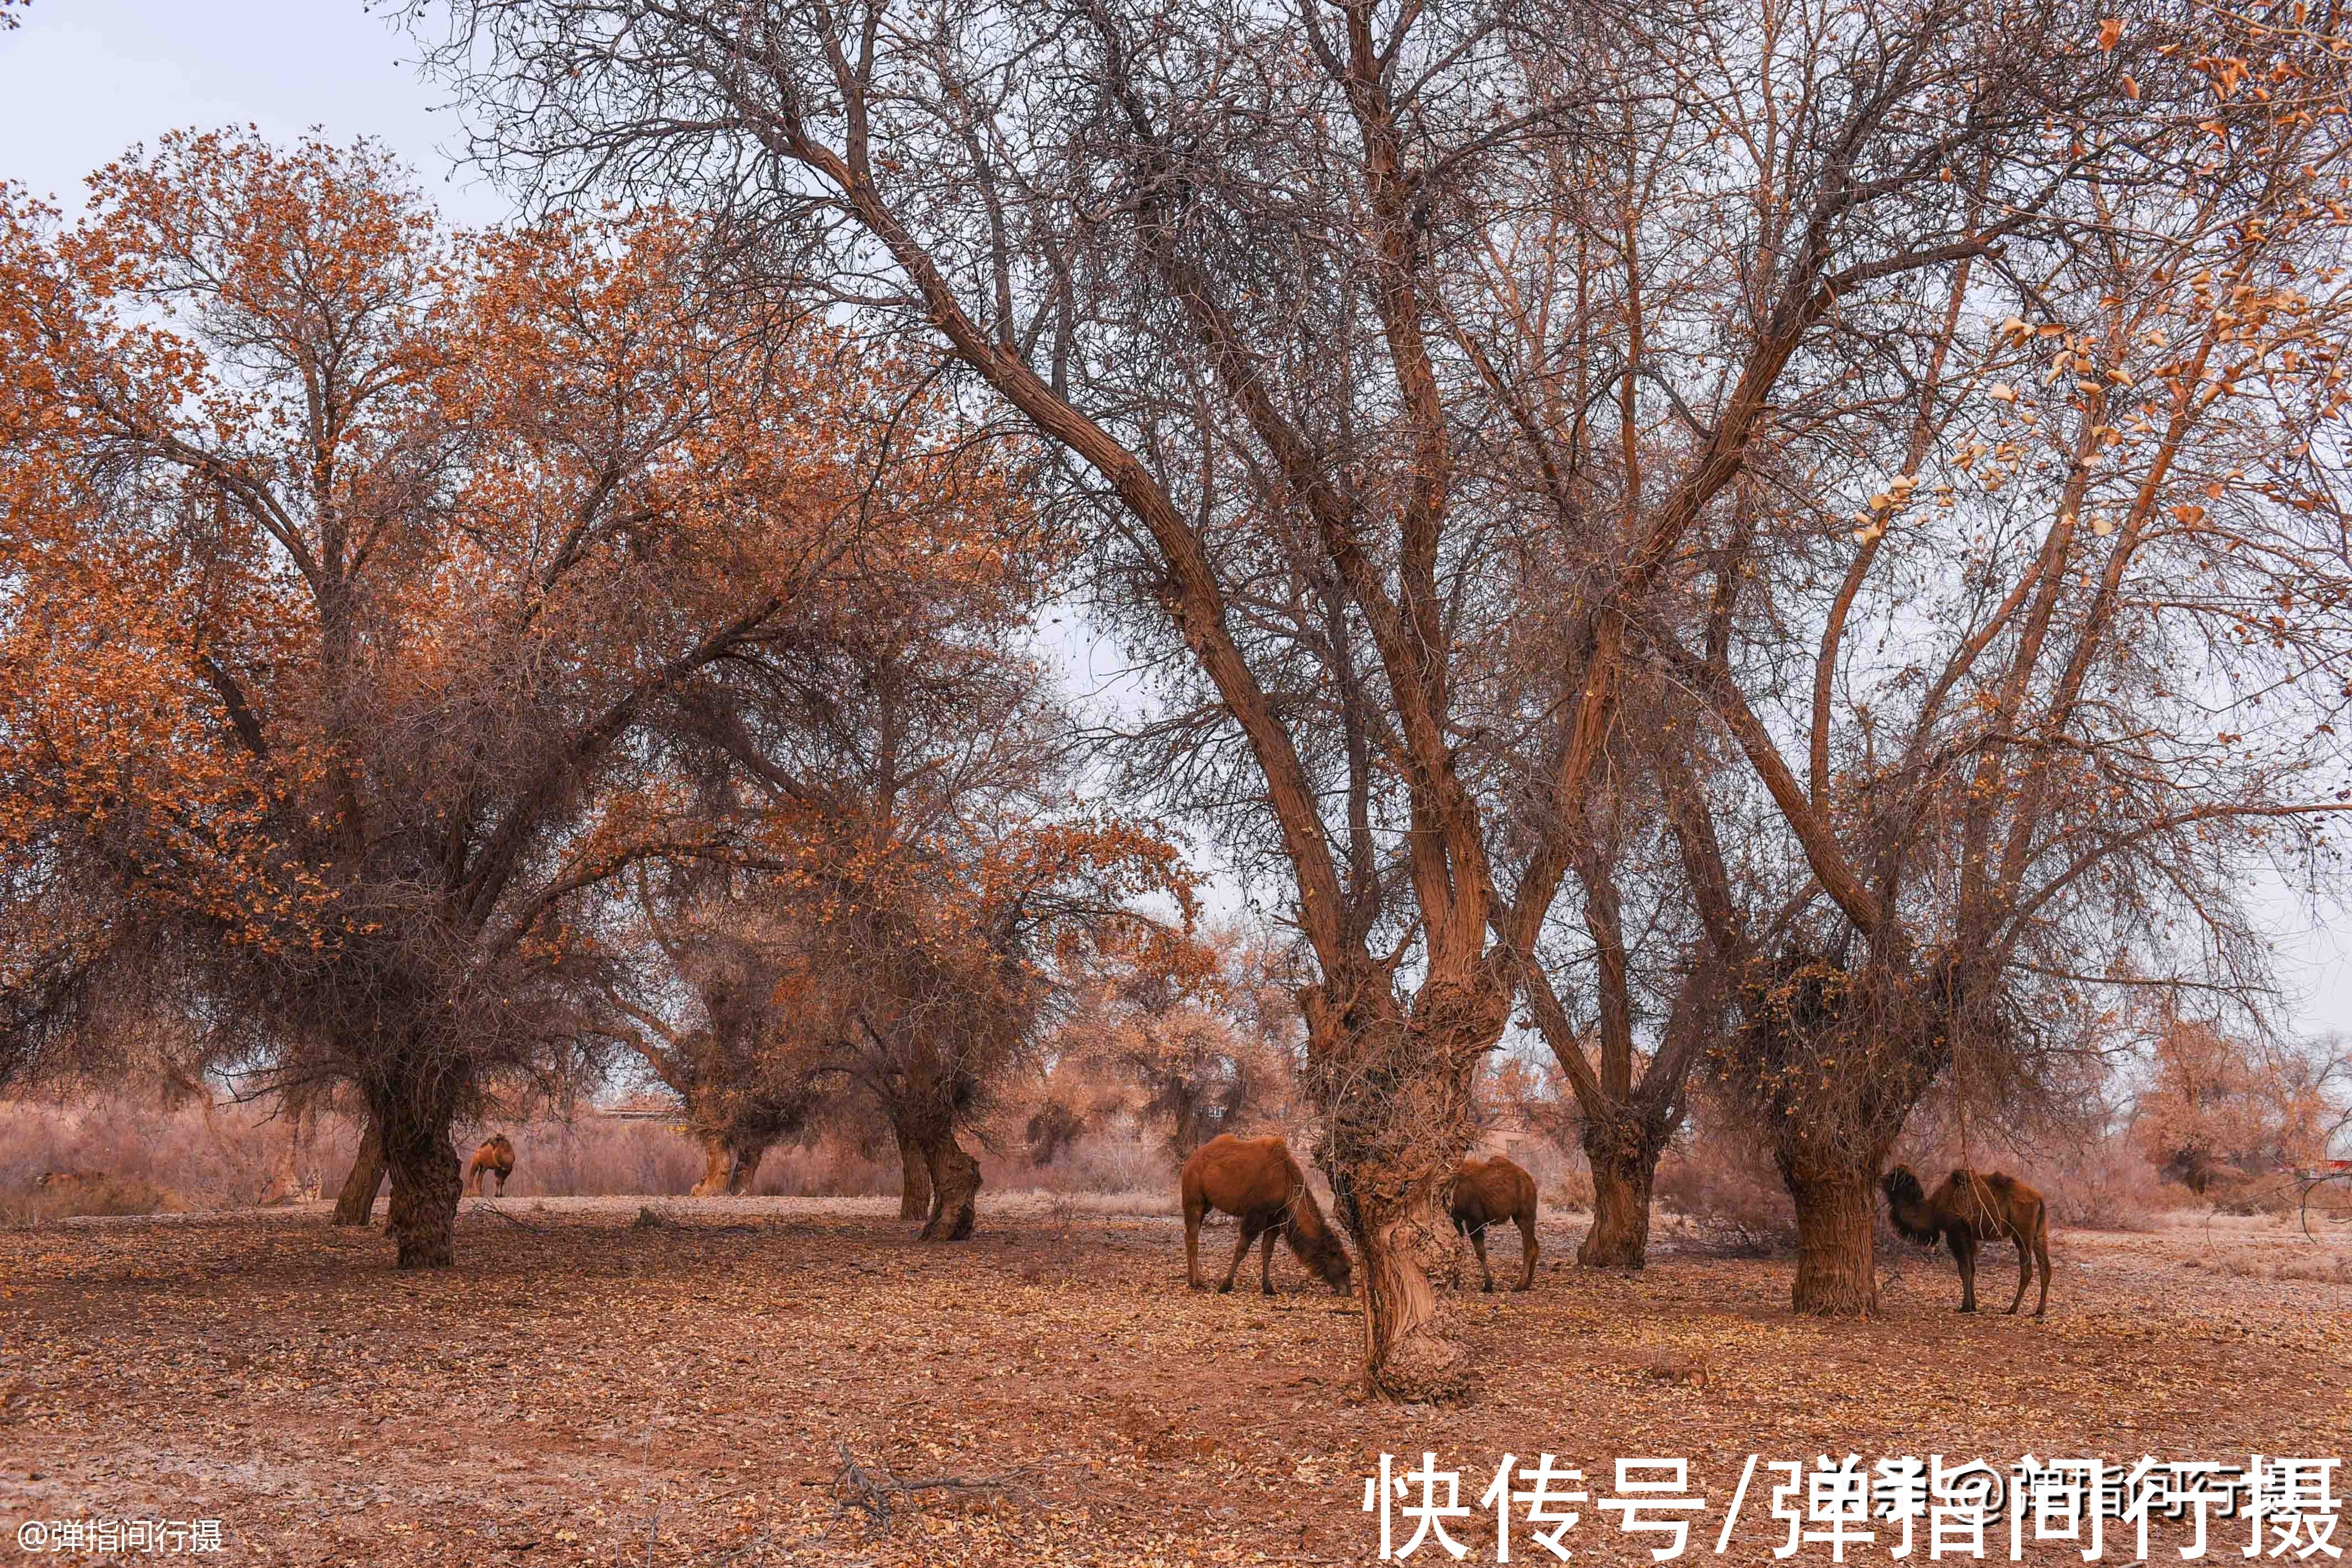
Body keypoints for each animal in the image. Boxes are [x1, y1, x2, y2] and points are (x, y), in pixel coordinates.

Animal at [1176, 1133, 1364, 1298]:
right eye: (1346, 1269)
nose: (1348, 1292)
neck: (1286, 1182)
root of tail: (1190, 1161)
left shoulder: (1275, 1217)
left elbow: (1267, 1251)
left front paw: (1268, 1288)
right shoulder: (1255, 1214)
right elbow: (1241, 1250)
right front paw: (1225, 1285)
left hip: (1207, 1203)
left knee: (1188, 1235)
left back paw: (1191, 1279)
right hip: (1194, 1198)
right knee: (1193, 1236)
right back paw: (1197, 1281)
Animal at [1449, 1161, 1543, 1298]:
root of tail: (1531, 1182)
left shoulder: (1474, 1220)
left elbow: (1481, 1252)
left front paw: (1488, 1285)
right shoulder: (1457, 1220)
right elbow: (1457, 1248)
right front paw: (1455, 1283)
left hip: (1524, 1216)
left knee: (1528, 1249)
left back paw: (1519, 1285)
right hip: (1522, 1218)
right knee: (1535, 1245)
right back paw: (1527, 1284)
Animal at [1881, 1161, 2051, 1316]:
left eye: (1895, 1176)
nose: (1882, 1178)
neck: (1934, 1207)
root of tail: (2039, 1199)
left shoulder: (1956, 1232)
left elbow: (1964, 1270)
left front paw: (1965, 1307)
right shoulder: (1969, 1235)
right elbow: (1972, 1269)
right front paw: (1974, 1306)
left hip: (2022, 1234)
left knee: (2027, 1270)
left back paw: (2012, 1309)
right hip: (2039, 1235)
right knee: (2046, 1269)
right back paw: (2039, 1311)